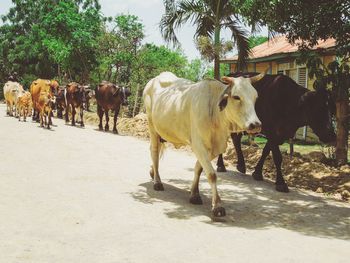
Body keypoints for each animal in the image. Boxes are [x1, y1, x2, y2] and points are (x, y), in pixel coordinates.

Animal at [143, 71, 262, 218]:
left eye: (256, 97)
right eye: (236, 97)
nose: (255, 125)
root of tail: (154, 79)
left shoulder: (213, 149)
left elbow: (198, 169)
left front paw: (194, 194)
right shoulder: (198, 145)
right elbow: (211, 174)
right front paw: (217, 206)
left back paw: (153, 172)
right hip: (152, 128)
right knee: (154, 152)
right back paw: (157, 182)